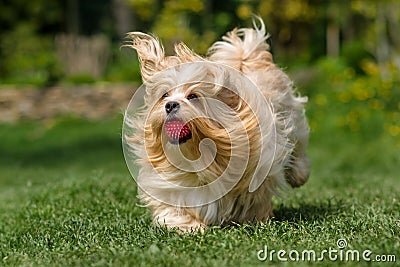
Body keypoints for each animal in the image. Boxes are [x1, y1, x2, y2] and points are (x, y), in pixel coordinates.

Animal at [123, 17, 310, 233]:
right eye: (164, 95)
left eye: (193, 96)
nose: (170, 105)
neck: (201, 154)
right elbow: (173, 208)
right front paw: (189, 225)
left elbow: (255, 196)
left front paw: (255, 217)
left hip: (292, 114)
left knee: (299, 146)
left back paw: (299, 175)